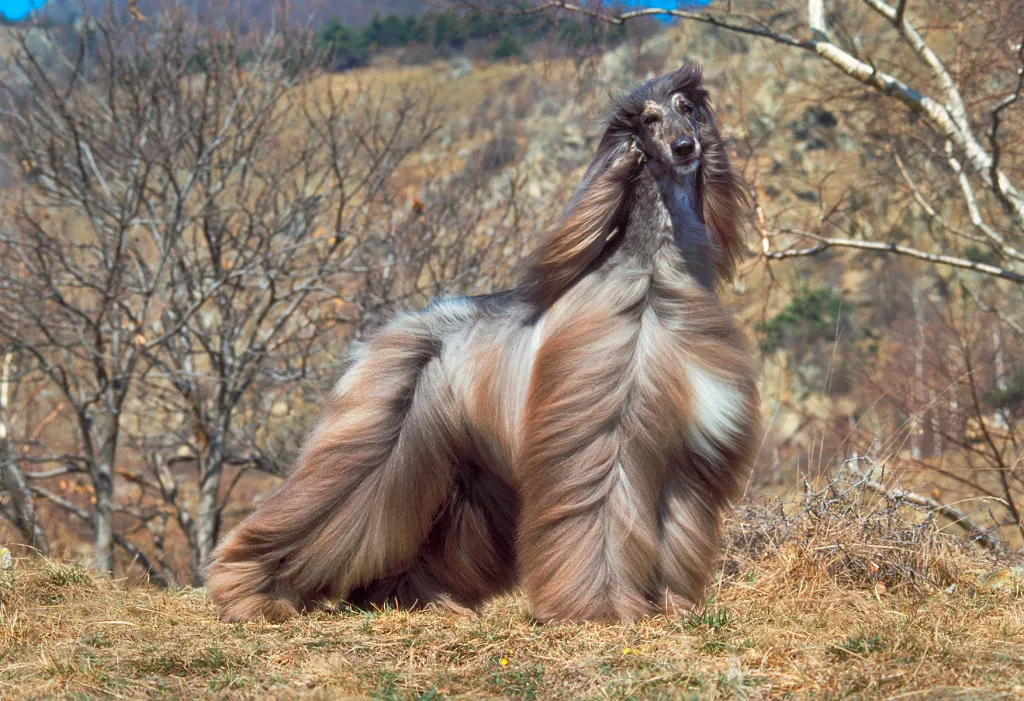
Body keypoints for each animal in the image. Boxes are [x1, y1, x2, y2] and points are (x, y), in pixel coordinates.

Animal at [205, 64, 761, 622]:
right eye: (649, 119)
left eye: (686, 108)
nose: (686, 146)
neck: (653, 277)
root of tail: (392, 329)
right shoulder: (602, 433)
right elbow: (597, 513)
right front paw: (598, 607)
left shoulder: (688, 452)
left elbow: (676, 533)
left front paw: (674, 606)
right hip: (379, 435)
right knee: (331, 504)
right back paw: (251, 589)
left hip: (463, 468)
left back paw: (417, 600)